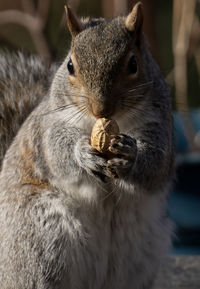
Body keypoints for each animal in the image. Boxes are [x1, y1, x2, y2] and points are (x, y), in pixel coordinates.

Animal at [0, 2, 173, 288]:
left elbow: (157, 164)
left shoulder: (160, 124)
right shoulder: (48, 126)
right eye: (70, 65)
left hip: (139, 259)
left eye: (133, 64)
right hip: (37, 247)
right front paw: (82, 154)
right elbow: (56, 151)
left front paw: (131, 155)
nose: (100, 109)